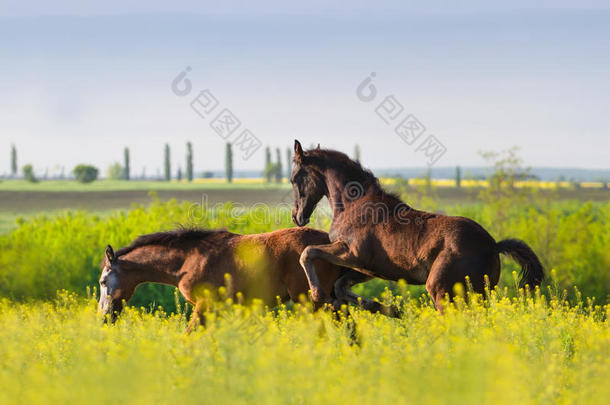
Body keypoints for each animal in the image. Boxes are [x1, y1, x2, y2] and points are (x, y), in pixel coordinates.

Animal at [96, 226, 380, 330]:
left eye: (102, 282)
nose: (104, 317)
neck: (188, 260)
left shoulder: (204, 306)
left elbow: (188, 335)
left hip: (311, 300)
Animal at [288, 140, 544, 310]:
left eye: (293, 178)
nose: (296, 217)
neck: (354, 204)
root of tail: (493, 245)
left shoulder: (351, 253)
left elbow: (307, 252)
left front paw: (318, 295)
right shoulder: (368, 269)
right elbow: (341, 286)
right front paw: (390, 310)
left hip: (442, 291)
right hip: (477, 294)